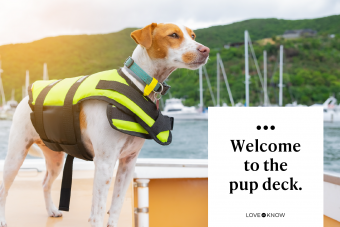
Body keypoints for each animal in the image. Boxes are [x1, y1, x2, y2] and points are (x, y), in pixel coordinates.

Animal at [0, 21, 210, 227]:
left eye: (193, 36)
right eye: (173, 35)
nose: (205, 49)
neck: (137, 83)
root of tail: (25, 98)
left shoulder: (128, 163)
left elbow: (116, 206)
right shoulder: (104, 163)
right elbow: (97, 213)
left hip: (56, 159)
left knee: (45, 183)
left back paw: (52, 210)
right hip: (16, 155)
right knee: (4, 188)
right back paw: (3, 219)